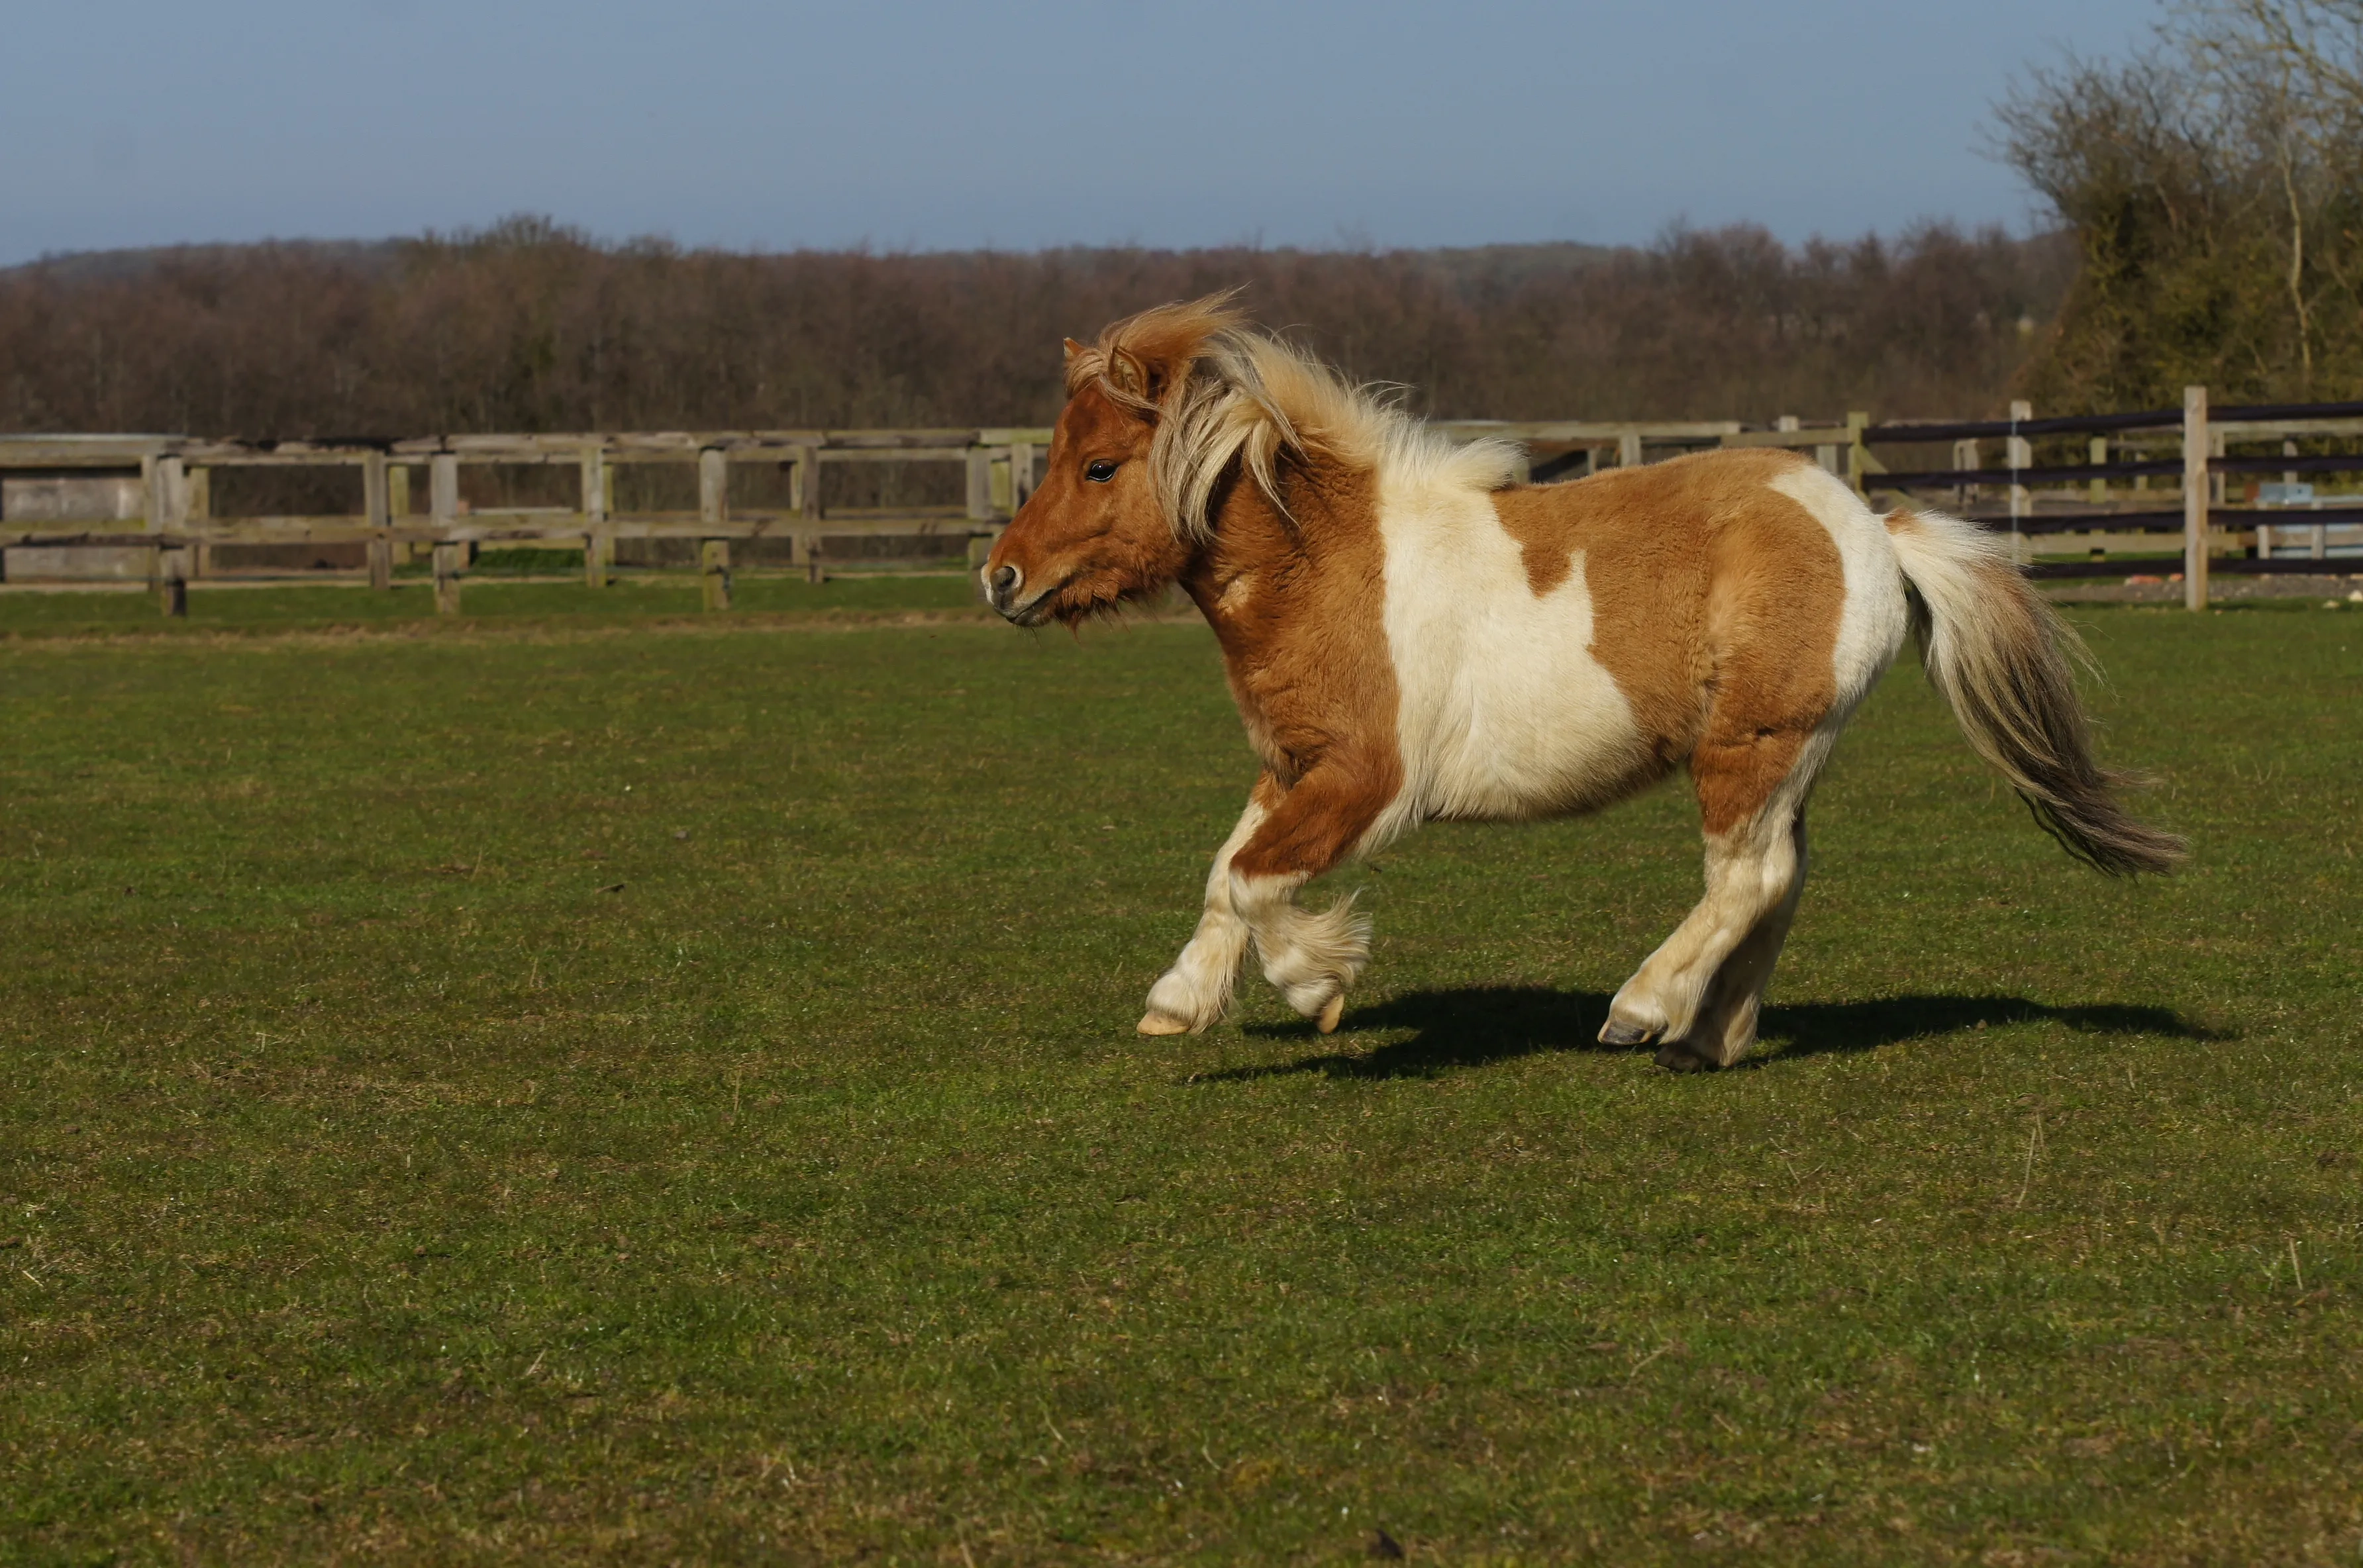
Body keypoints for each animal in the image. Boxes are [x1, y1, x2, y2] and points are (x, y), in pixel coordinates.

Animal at [980, 297, 2184, 1070]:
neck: (1332, 564)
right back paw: (1709, 1036)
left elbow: (1250, 881)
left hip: (1750, 745)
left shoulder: (1366, 780)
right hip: (1784, 756)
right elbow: (1224, 871)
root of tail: (1872, 530)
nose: (1000, 578)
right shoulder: (1294, 764)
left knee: (1745, 879)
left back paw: (1643, 1011)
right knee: (1778, 879)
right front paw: (1179, 1000)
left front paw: (1317, 985)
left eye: (1099, 466)